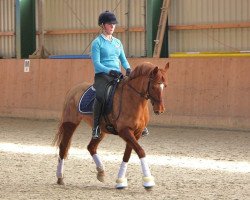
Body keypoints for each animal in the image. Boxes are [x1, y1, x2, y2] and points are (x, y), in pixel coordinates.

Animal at [53, 61, 169, 189]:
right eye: (153, 86)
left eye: (165, 86)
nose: (160, 110)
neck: (133, 99)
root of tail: (74, 89)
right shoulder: (125, 131)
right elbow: (140, 151)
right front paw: (148, 181)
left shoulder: (136, 133)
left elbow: (127, 155)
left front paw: (120, 181)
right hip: (70, 123)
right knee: (63, 147)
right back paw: (60, 177)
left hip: (101, 131)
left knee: (91, 147)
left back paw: (101, 172)